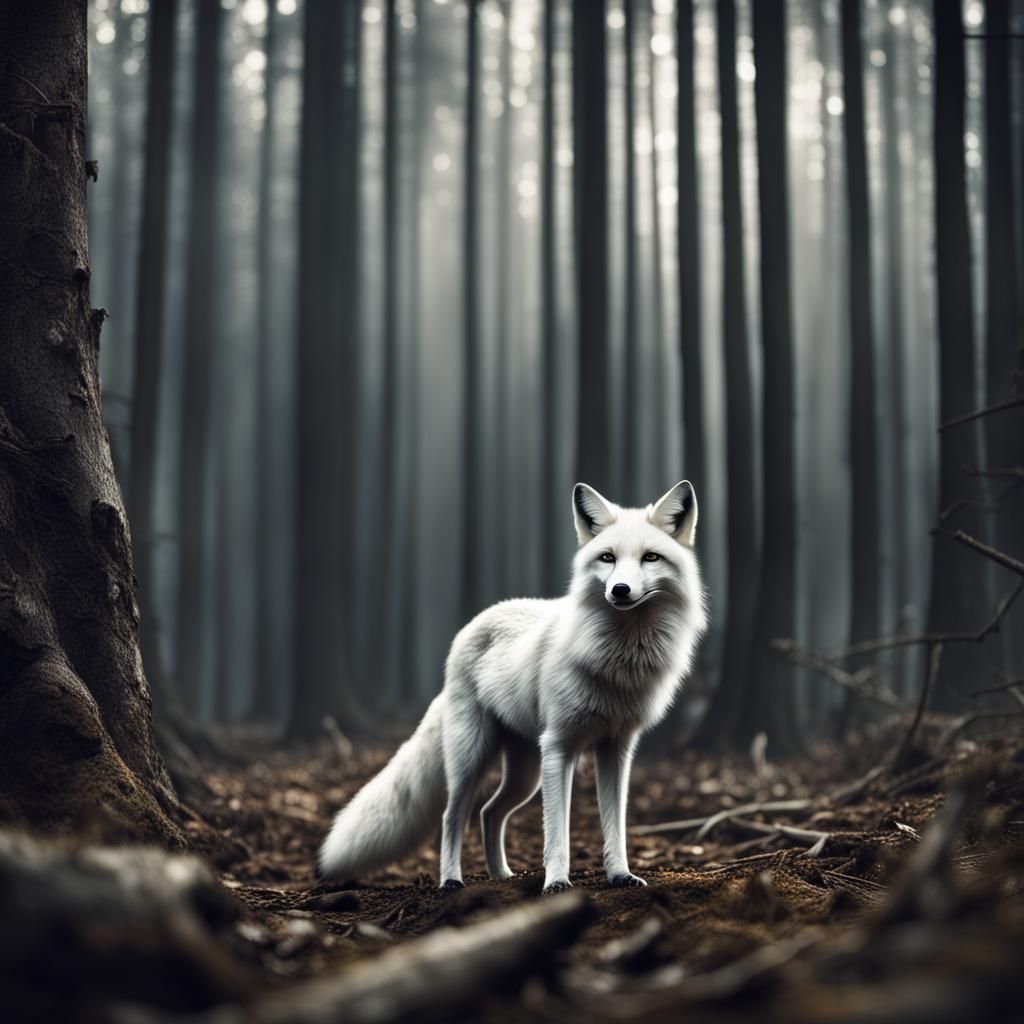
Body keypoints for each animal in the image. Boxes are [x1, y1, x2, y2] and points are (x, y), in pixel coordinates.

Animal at [318, 480, 708, 892]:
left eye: (650, 558)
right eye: (608, 558)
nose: (619, 589)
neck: (620, 660)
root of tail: (471, 627)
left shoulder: (616, 749)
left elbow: (614, 826)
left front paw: (620, 875)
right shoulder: (558, 748)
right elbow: (556, 833)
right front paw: (556, 883)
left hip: (524, 774)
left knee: (490, 812)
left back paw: (501, 875)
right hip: (473, 760)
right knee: (452, 816)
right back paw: (451, 880)